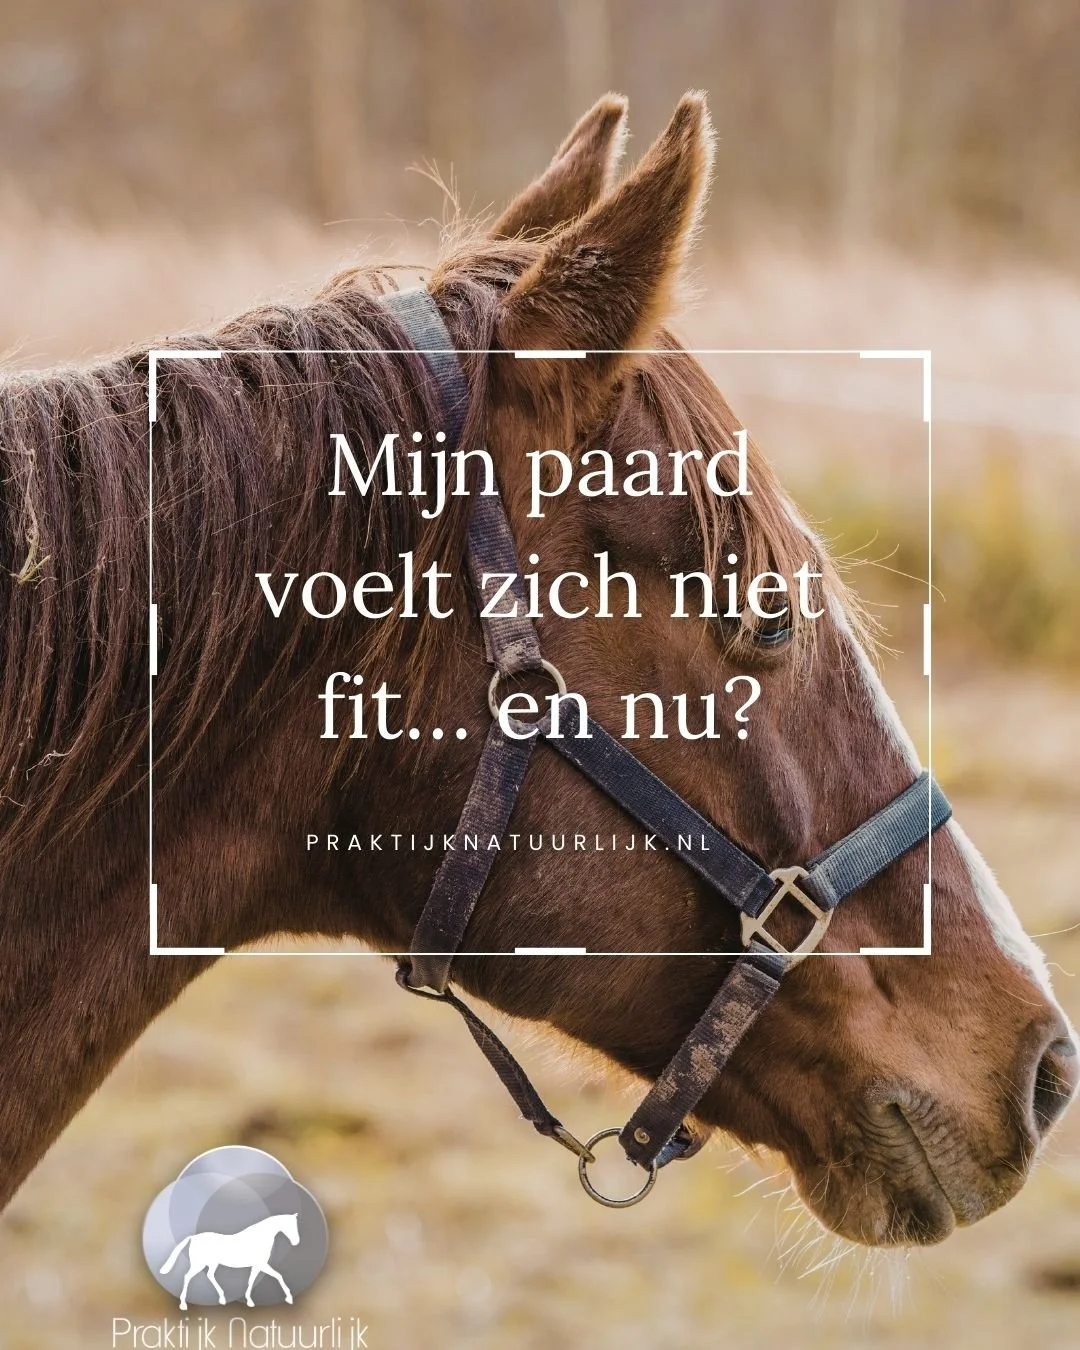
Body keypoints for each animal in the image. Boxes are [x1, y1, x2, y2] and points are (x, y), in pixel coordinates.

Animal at [159, 1212, 299, 1310]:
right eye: (290, 1226)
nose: (296, 1242)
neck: (259, 1237)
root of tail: (193, 1237)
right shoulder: (262, 1264)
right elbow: (278, 1276)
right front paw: (289, 1298)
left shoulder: (257, 1266)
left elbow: (251, 1280)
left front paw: (249, 1301)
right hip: (199, 1264)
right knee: (187, 1276)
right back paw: (183, 1305)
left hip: (212, 1264)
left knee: (209, 1275)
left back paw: (222, 1299)